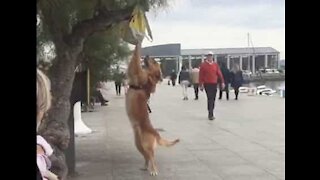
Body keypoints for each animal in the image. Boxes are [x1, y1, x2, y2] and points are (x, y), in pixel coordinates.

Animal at [125, 43, 180, 176]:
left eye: (154, 61)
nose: (148, 55)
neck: (149, 76)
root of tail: (156, 133)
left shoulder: (136, 72)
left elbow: (135, 59)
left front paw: (138, 41)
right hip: (138, 145)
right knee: (147, 157)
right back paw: (145, 167)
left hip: (147, 145)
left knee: (152, 157)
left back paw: (154, 170)